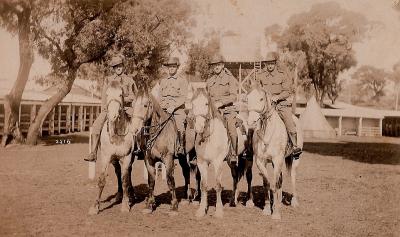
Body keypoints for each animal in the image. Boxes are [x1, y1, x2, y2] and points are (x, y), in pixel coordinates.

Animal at [88, 81, 151, 215]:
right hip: (114, 159)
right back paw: (119, 195)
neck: (117, 134)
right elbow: (102, 180)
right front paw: (95, 207)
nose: (113, 115)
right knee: (117, 172)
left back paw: (130, 195)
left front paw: (126, 205)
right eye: (107, 94)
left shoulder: (126, 157)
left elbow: (125, 179)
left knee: (127, 173)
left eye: (121, 94)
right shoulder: (106, 157)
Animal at [191, 89, 253, 218]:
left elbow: (218, 186)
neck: (209, 137)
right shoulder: (201, 162)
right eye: (193, 104)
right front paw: (201, 210)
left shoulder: (217, 162)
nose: (199, 127)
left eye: (206, 103)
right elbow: (203, 185)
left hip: (249, 158)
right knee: (235, 177)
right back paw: (233, 200)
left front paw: (218, 211)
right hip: (232, 161)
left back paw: (249, 201)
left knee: (249, 176)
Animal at [245, 85, 302, 220]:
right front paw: (267, 208)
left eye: (261, 99)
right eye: (247, 99)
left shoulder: (277, 160)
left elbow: (274, 184)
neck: (268, 131)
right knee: (280, 179)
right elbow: (267, 183)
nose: (251, 122)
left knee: (292, 176)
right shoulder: (261, 162)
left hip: (294, 159)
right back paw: (279, 202)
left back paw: (294, 202)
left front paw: (275, 213)